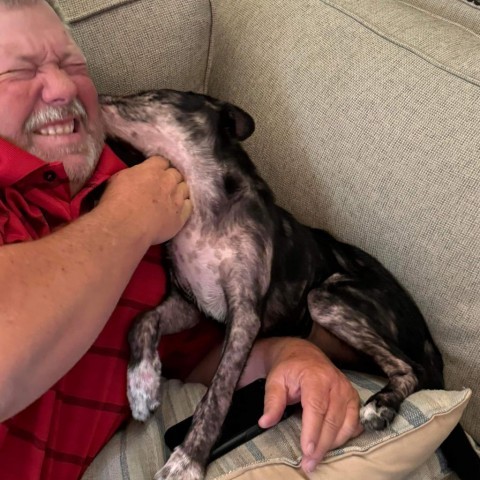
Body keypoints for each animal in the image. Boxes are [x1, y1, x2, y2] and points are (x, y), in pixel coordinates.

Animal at [99, 91, 478, 480]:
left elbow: (218, 392)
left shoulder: (245, 314)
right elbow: (140, 321)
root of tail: (430, 340)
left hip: (327, 297)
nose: (97, 97)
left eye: (151, 97)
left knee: (411, 368)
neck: (204, 209)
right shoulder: (190, 304)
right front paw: (141, 386)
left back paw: (380, 405)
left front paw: (187, 460)